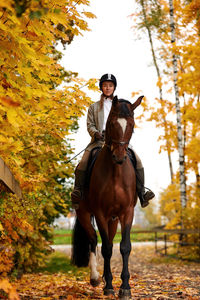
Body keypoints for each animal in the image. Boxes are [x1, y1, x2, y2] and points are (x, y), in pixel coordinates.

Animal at [71, 95, 143, 298]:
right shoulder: (100, 213)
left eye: (132, 125)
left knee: (108, 240)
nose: (119, 156)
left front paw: (125, 287)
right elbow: (106, 249)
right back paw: (96, 278)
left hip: (113, 218)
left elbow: (124, 247)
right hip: (85, 214)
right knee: (94, 240)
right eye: (111, 123)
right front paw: (109, 286)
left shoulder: (127, 213)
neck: (115, 173)